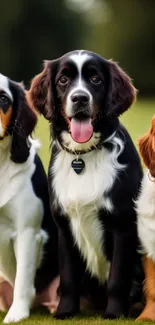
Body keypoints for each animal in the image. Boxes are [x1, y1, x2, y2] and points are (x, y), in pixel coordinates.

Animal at [27, 50, 143, 318]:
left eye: (95, 79)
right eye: (63, 80)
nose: (80, 98)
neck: (83, 155)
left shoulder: (122, 225)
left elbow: (117, 279)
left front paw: (114, 313)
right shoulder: (65, 226)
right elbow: (68, 278)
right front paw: (65, 311)